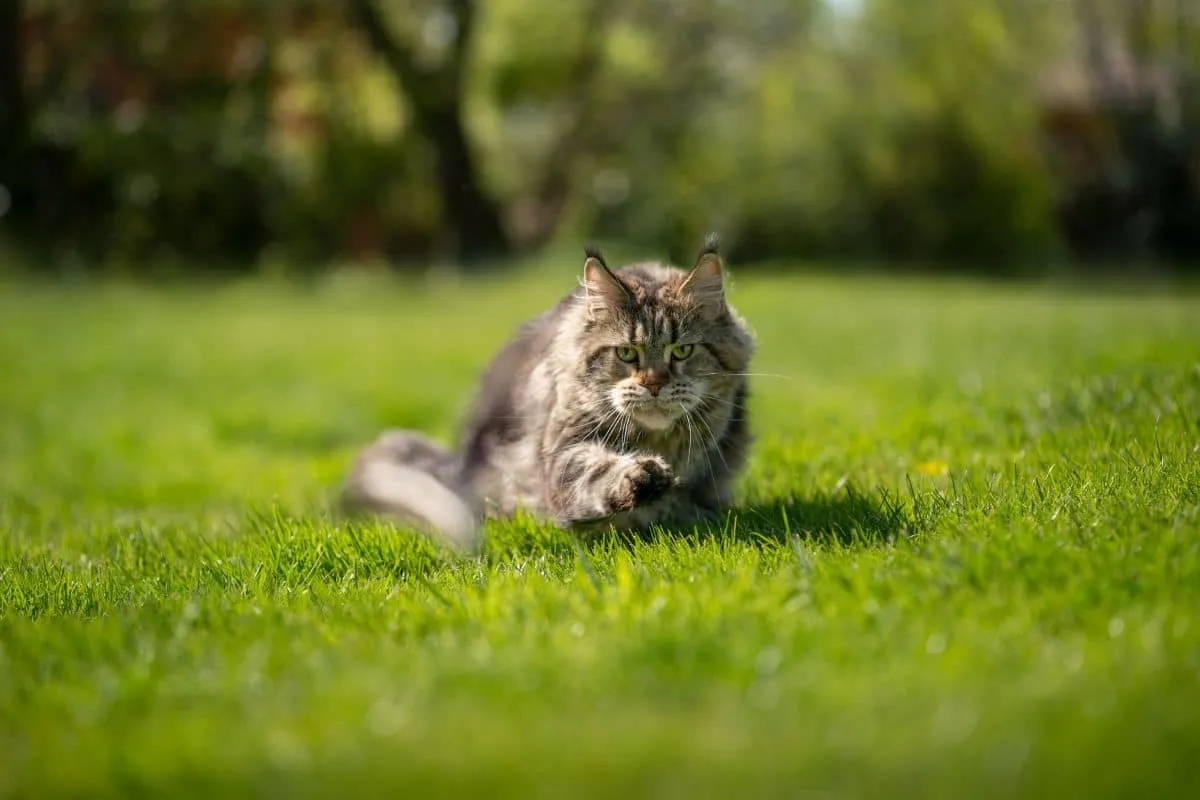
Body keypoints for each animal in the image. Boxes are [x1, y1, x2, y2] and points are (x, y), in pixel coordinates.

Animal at [338, 237, 753, 551]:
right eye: (626, 353)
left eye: (681, 351)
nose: (653, 384)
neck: (655, 440)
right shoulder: (563, 454)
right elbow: (599, 474)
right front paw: (639, 478)